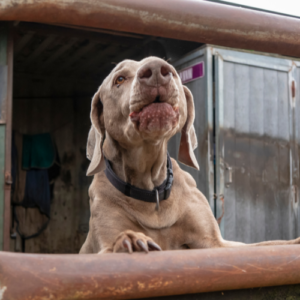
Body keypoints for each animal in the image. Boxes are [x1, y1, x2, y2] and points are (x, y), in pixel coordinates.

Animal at [79, 56, 300, 253]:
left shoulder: (215, 243)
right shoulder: (103, 247)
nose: (157, 69)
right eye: (119, 79)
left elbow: (268, 244)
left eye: (175, 74)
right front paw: (130, 241)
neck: (152, 190)